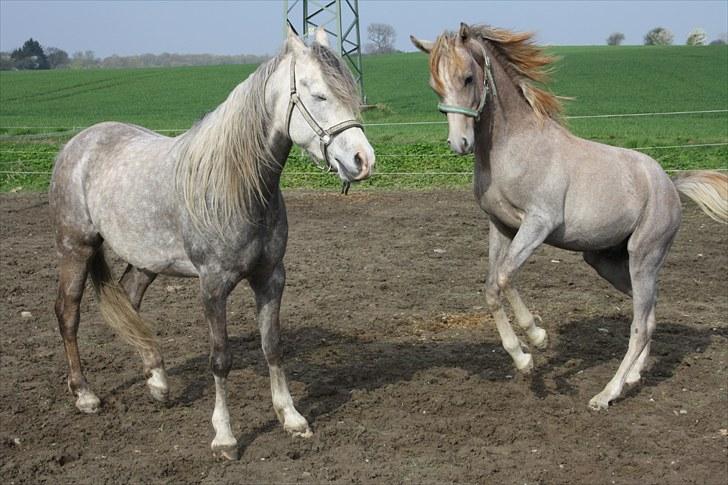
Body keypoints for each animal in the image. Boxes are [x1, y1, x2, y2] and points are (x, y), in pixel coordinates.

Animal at [49, 28, 376, 460]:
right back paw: (85, 394)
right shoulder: (213, 285)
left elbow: (273, 346)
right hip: (76, 248)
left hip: (147, 261)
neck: (238, 186)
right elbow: (220, 359)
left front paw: (291, 417)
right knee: (68, 313)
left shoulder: (271, 277)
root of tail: (78, 144)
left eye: (351, 93)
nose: (363, 160)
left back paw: (158, 382)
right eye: (319, 95)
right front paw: (225, 436)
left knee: (129, 299)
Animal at [412, 22, 724, 408]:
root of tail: (669, 183)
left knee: (639, 325)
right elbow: (491, 287)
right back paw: (634, 376)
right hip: (605, 262)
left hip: (643, 256)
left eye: (468, 78)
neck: (514, 147)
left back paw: (607, 393)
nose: (460, 144)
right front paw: (522, 358)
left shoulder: (538, 224)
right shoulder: (500, 226)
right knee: (650, 312)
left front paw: (537, 336)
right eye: (435, 85)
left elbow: (505, 277)